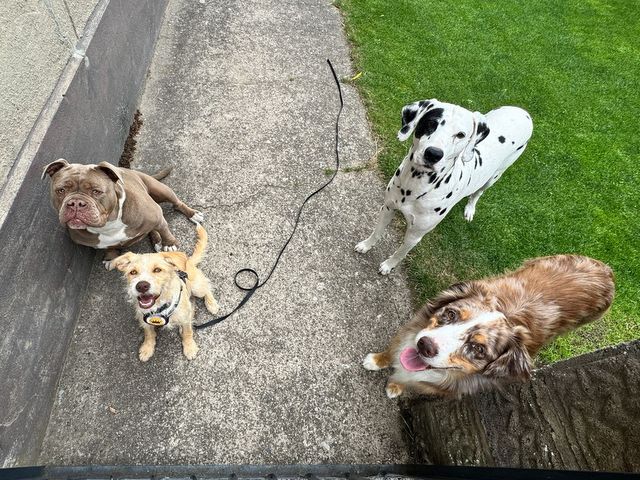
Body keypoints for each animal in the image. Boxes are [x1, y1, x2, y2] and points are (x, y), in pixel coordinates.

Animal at [42, 159, 203, 266]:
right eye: (61, 190)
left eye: (96, 191)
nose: (76, 203)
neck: (108, 225)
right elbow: (110, 246)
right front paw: (111, 256)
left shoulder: (156, 215)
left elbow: (164, 229)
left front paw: (169, 244)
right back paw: (156, 240)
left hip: (161, 190)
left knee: (176, 204)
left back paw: (192, 214)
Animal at [110, 223, 219, 361]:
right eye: (133, 272)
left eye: (157, 270)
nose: (142, 286)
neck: (159, 306)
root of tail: (188, 261)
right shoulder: (144, 320)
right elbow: (149, 334)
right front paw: (147, 348)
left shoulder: (185, 319)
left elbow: (188, 332)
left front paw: (189, 347)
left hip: (197, 287)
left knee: (207, 288)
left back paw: (212, 305)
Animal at [355, 99, 533, 274]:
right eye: (431, 123)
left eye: (460, 135)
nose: (433, 154)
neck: (414, 185)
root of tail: (523, 112)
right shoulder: (387, 208)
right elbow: (377, 233)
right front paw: (366, 245)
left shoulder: (415, 235)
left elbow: (400, 253)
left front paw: (389, 265)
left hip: (494, 176)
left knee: (477, 194)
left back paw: (470, 209)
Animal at [363, 255, 614, 398]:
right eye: (451, 314)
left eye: (478, 349)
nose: (425, 345)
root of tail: (608, 271)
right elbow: (393, 350)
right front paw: (377, 360)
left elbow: (410, 380)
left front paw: (396, 386)